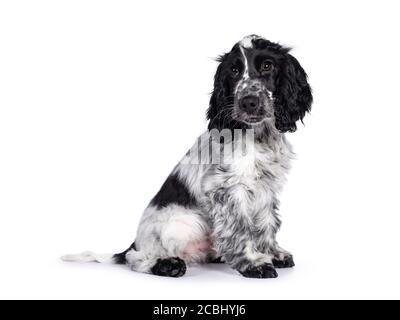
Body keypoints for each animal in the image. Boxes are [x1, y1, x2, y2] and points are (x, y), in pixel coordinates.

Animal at [62, 35, 312, 278]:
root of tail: (134, 242)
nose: (248, 102)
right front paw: (253, 263)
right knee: (136, 258)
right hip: (182, 224)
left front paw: (273, 254)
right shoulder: (229, 188)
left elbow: (266, 223)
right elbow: (241, 228)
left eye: (267, 66)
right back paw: (166, 265)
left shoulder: (266, 187)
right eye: (233, 71)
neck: (259, 135)